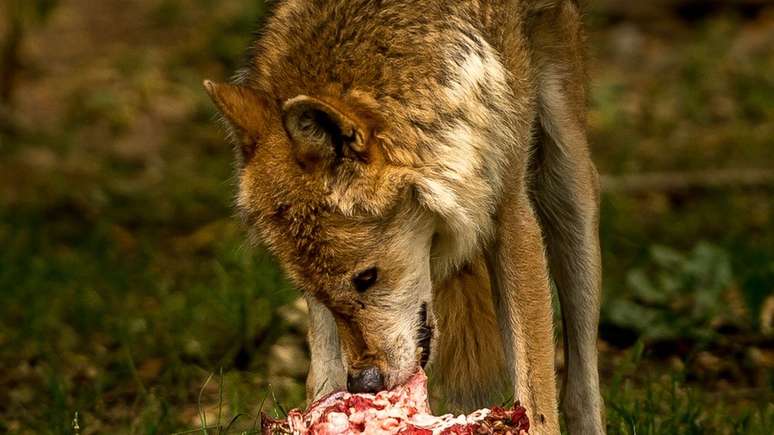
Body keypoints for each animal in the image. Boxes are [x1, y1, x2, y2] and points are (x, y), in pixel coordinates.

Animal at [206, 1, 608, 434]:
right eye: (315, 291)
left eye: (367, 278)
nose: (365, 384)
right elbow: (323, 368)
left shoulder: (509, 210)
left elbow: (537, 399)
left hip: (567, 179)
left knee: (580, 384)